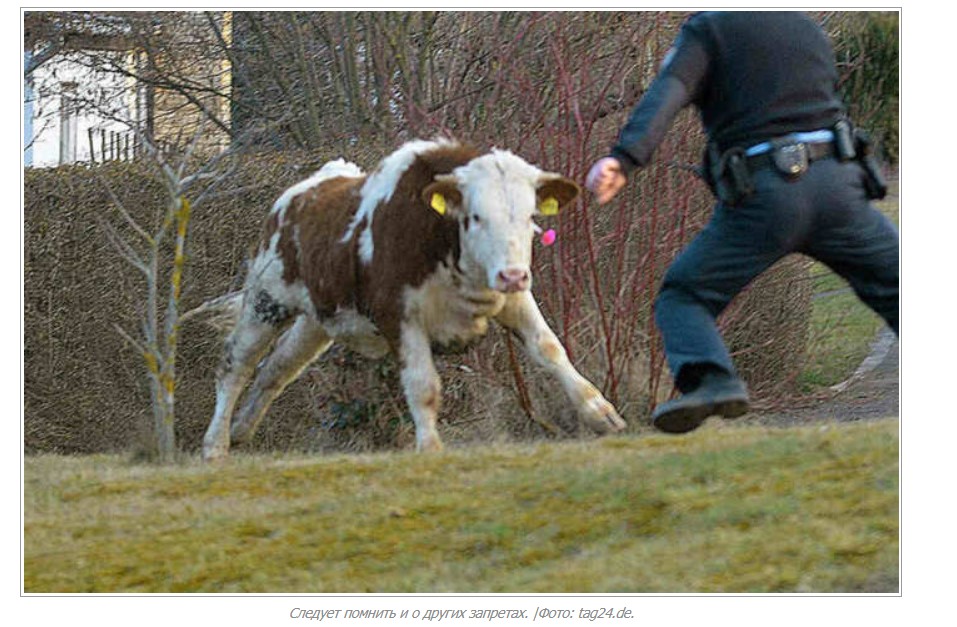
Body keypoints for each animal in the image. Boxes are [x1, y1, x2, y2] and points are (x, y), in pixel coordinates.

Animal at [202, 138, 626, 461]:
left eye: (529, 216)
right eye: (475, 216)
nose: (512, 274)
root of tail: (307, 188)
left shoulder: (514, 301)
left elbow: (550, 349)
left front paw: (600, 412)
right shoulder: (399, 314)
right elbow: (422, 384)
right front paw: (430, 446)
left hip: (316, 321)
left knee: (277, 368)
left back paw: (242, 427)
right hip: (266, 301)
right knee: (235, 365)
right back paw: (216, 444)